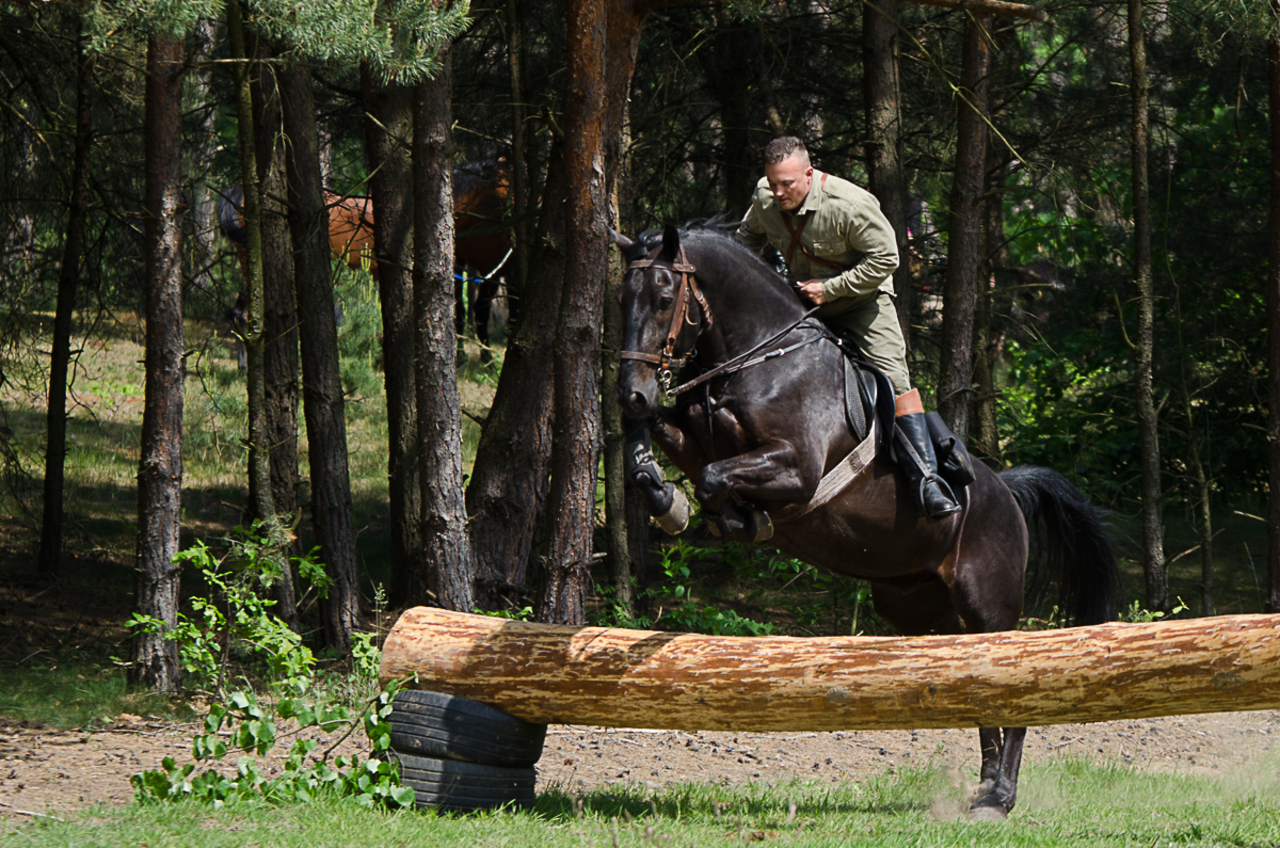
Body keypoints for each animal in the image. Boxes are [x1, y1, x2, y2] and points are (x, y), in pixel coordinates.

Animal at [611, 222, 1121, 819]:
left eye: (664, 297)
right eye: (622, 298)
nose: (631, 390)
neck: (757, 359)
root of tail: (1009, 494)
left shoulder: (797, 468)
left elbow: (717, 477)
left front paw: (739, 519)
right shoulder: (693, 433)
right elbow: (654, 441)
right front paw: (667, 497)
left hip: (988, 603)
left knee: (1010, 686)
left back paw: (999, 798)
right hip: (918, 608)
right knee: (974, 684)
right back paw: (985, 787)